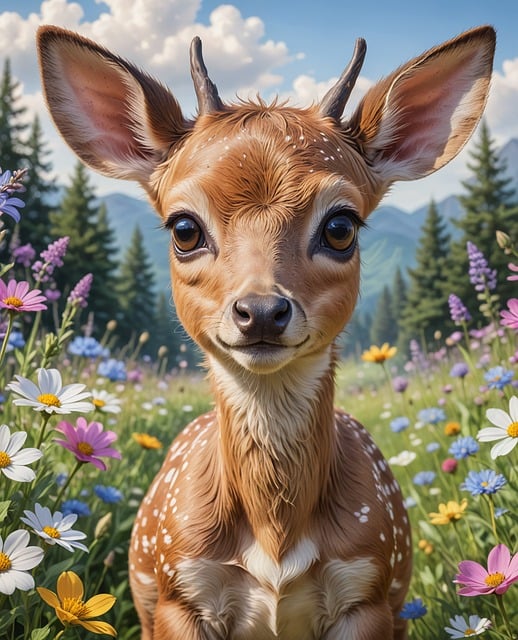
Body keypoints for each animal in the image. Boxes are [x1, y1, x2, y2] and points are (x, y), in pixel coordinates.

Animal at [36, 24, 495, 639]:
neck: (275, 537)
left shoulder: (369, 587)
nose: (260, 311)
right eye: (184, 228)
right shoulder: (181, 590)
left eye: (341, 226)